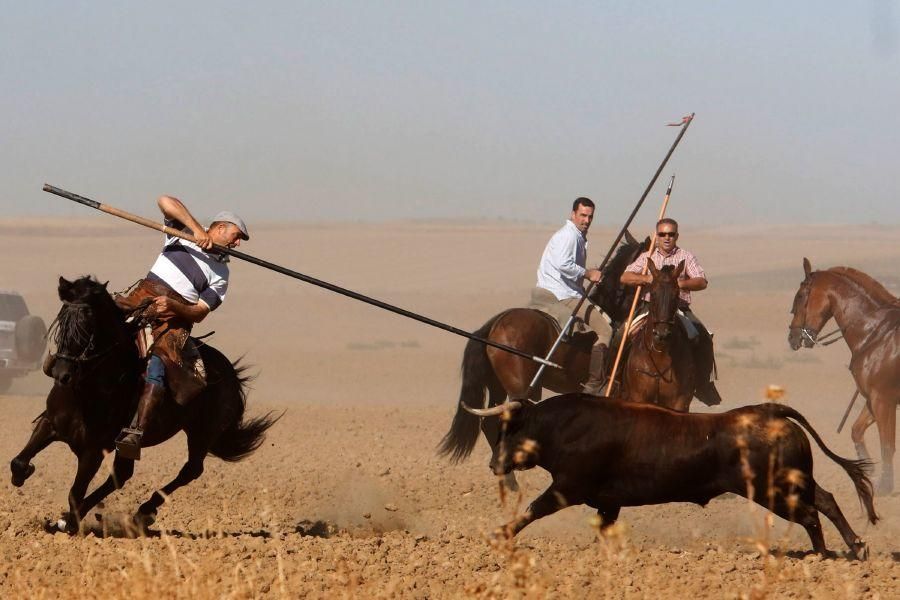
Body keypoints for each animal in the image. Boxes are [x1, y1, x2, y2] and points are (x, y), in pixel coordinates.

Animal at [8, 274, 280, 532]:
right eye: (62, 320)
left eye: (88, 324)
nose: (62, 373)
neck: (88, 390)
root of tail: (230, 374)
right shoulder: (49, 424)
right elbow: (19, 462)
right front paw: (24, 477)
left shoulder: (93, 450)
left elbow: (75, 493)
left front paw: (68, 522)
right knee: (123, 474)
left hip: (201, 434)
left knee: (190, 470)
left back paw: (142, 513)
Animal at [468, 396, 876, 560]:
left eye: (509, 430)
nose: (492, 465)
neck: (563, 427)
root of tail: (770, 410)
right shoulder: (608, 502)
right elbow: (604, 529)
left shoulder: (567, 488)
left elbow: (533, 509)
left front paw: (500, 534)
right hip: (795, 481)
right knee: (825, 501)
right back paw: (855, 546)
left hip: (771, 490)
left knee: (810, 514)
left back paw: (822, 554)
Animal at [788, 260, 900, 494]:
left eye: (801, 295)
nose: (792, 337)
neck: (876, 334)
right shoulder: (872, 399)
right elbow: (856, 430)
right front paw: (868, 469)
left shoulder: (884, 400)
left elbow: (887, 445)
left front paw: (885, 486)